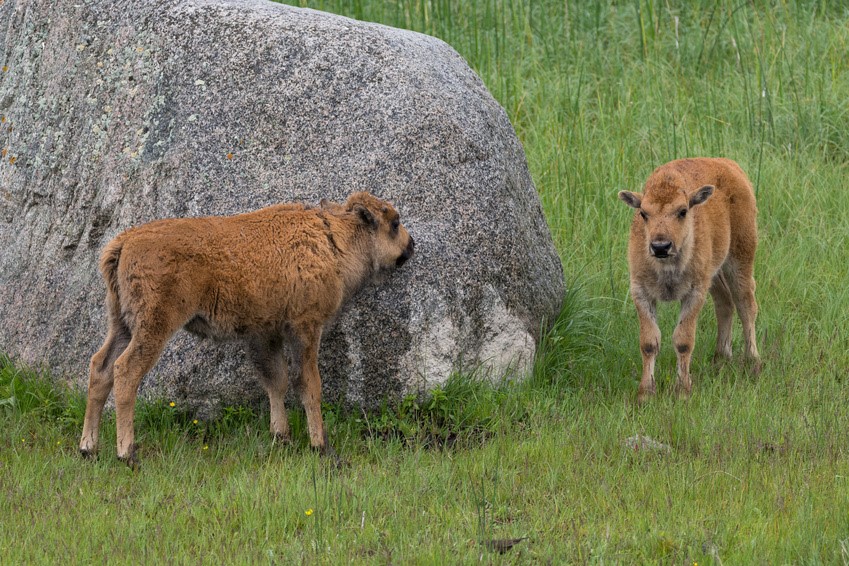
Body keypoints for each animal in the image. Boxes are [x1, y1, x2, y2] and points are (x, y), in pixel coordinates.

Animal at [78, 191, 416, 466]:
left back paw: (88, 449)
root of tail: (124, 241)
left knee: (100, 367)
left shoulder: (266, 335)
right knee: (125, 371)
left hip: (121, 324)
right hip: (154, 326)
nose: (411, 245)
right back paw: (127, 454)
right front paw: (321, 446)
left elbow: (276, 381)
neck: (331, 239)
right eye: (394, 222)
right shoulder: (306, 328)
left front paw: (282, 437)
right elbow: (309, 386)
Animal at [616, 158, 760, 404]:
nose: (660, 246)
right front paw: (646, 394)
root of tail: (729, 164)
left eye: (682, 211)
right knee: (725, 303)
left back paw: (753, 362)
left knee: (745, 303)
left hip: (740, 256)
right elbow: (649, 342)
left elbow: (683, 340)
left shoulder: (694, 293)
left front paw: (682, 391)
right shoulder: (641, 292)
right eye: (643, 213)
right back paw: (721, 356)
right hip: (714, 273)